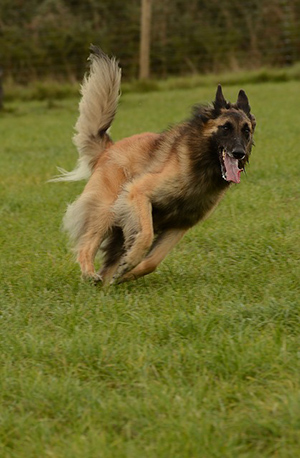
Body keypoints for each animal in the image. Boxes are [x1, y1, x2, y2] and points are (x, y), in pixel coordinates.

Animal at [52, 45, 256, 282]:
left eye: (246, 131)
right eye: (225, 128)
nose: (239, 153)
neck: (200, 168)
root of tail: (107, 149)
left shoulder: (180, 224)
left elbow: (152, 261)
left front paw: (126, 274)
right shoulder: (138, 193)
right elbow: (146, 235)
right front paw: (130, 262)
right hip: (107, 210)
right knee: (86, 246)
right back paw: (89, 274)